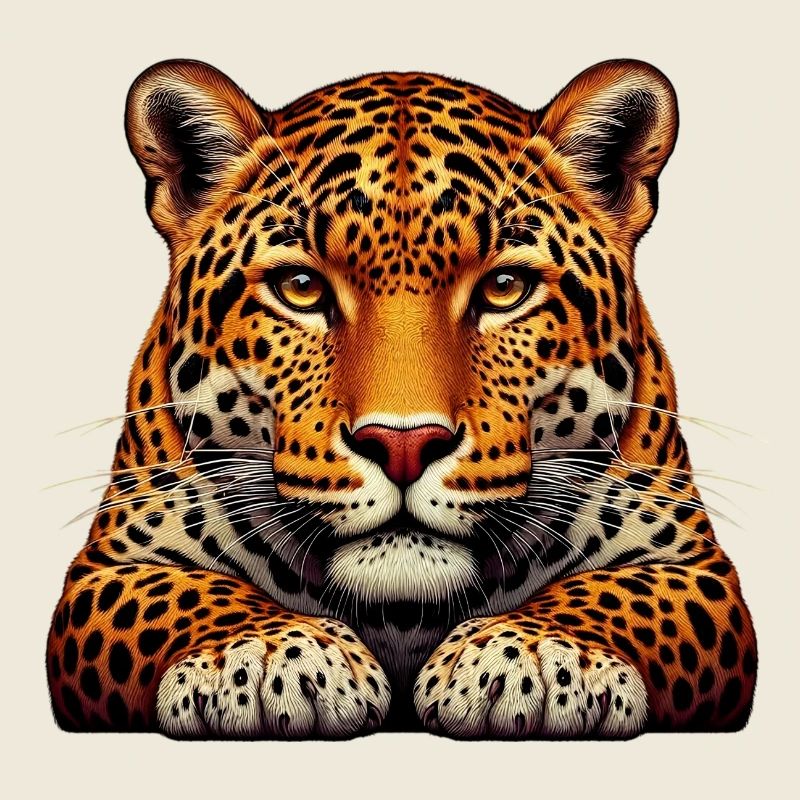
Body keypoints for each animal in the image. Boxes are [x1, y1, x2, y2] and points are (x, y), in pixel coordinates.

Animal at [46, 58, 757, 738]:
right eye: (301, 287)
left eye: (505, 287)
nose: (404, 445)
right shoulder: (110, 565)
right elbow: (185, 593)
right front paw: (265, 655)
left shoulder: (693, 565)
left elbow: (619, 593)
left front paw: (535, 655)